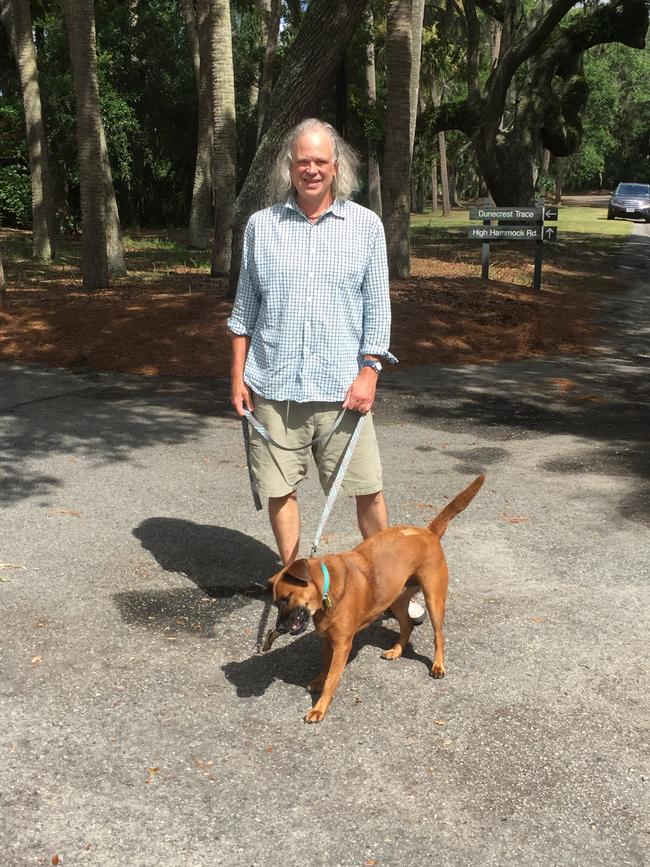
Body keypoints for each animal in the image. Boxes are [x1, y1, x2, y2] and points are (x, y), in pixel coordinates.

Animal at [262, 472, 480, 724]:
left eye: (286, 599)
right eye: (276, 602)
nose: (278, 628)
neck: (328, 588)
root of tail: (428, 531)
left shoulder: (342, 645)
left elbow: (331, 679)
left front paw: (319, 708)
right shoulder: (328, 641)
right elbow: (325, 668)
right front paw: (318, 681)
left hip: (434, 599)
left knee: (438, 636)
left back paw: (438, 665)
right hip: (397, 599)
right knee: (407, 626)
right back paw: (396, 650)